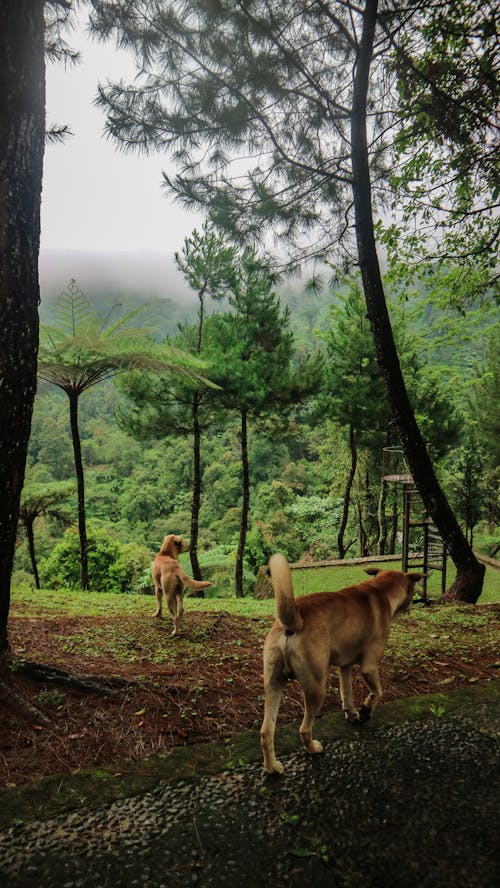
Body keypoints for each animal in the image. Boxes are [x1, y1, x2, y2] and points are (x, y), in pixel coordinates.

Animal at [260, 552, 424, 772]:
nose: (414, 604)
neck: (380, 590)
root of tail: (296, 619)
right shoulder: (369, 667)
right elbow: (378, 692)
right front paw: (366, 710)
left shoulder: (344, 666)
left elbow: (347, 694)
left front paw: (352, 714)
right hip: (316, 687)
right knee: (304, 728)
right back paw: (312, 748)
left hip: (274, 683)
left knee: (266, 731)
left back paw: (272, 768)